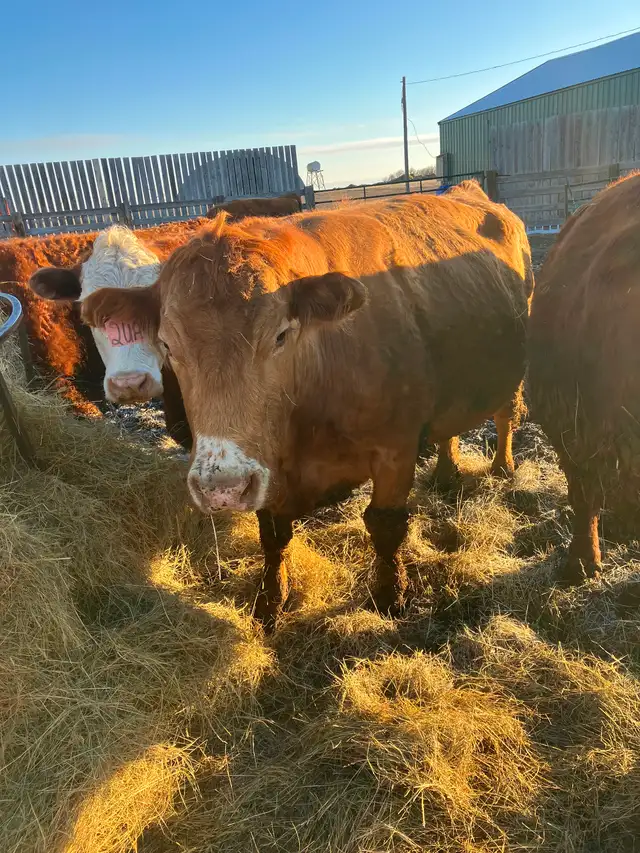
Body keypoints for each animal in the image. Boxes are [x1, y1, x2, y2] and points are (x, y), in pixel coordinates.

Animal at [81, 182, 533, 629]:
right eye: (167, 344)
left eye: (281, 335)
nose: (221, 487)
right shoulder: (267, 463)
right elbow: (272, 535)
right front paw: (270, 601)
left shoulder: (395, 449)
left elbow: (385, 526)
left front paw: (390, 597)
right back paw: (445, 471)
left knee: (505, 415)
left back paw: (502, 466)